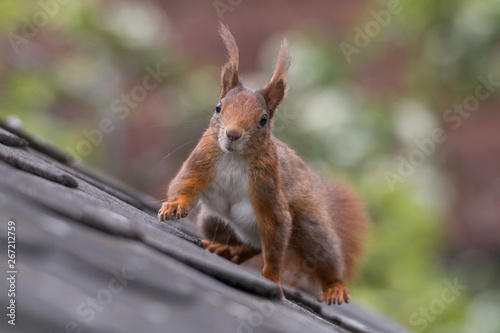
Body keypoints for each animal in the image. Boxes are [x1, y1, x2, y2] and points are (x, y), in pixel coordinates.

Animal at [158, 24, 370, 304]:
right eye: (218, 107)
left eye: (263, 119)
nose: (233, 134)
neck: (235, 158)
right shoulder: (202, 160)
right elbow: (184, 184)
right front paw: (174, 206)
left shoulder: (269, 190)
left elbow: (276, 235)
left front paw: (271, 280)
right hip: (211, 222)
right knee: (250, 245)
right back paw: (227, 250)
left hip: (311, 229)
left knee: (317, 253)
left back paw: (335, 286)